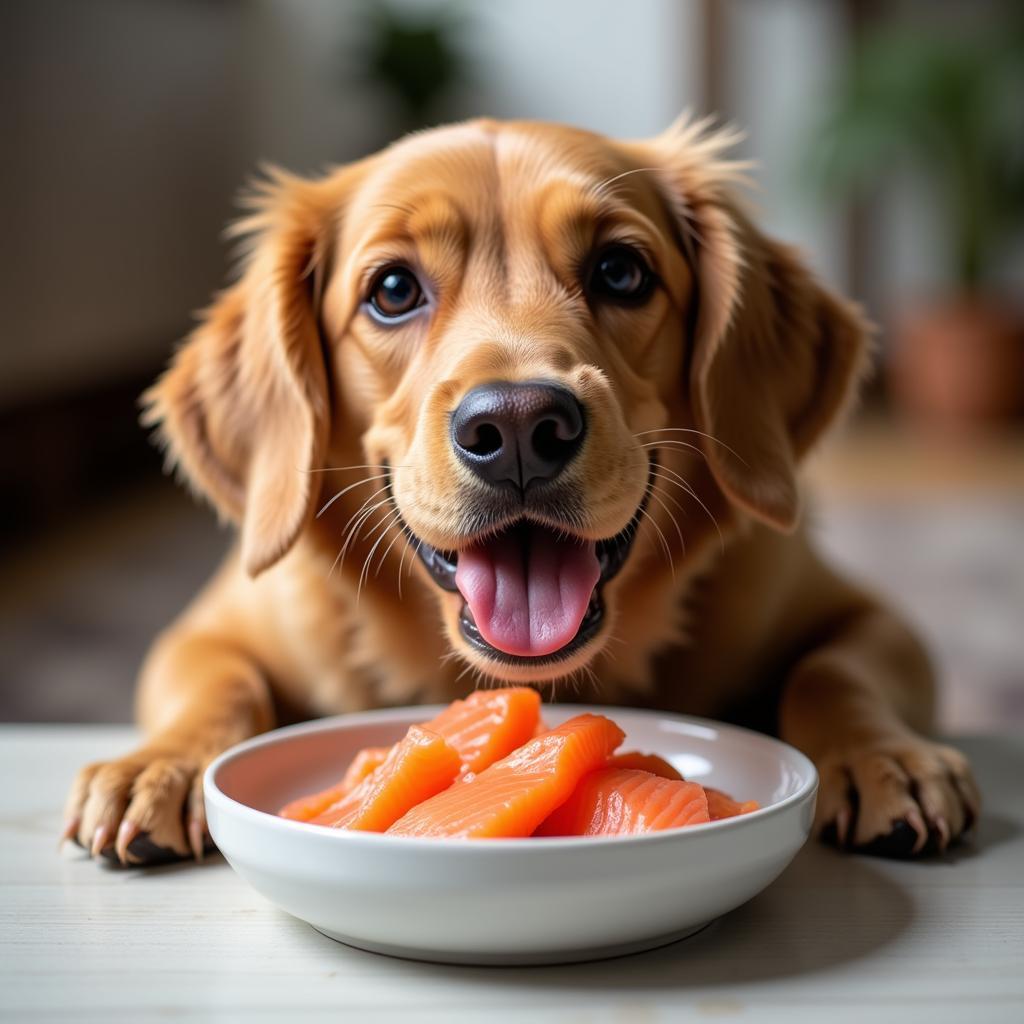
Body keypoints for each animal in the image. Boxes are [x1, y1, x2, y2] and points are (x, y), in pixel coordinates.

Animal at [61, 114, 974, 864]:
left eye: (620, 271)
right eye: (393, 290)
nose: (519, 427)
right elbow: (218, 685)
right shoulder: (204, 632)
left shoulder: (865, 616)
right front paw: (158, 765)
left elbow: (833, 672)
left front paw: (886, 756)